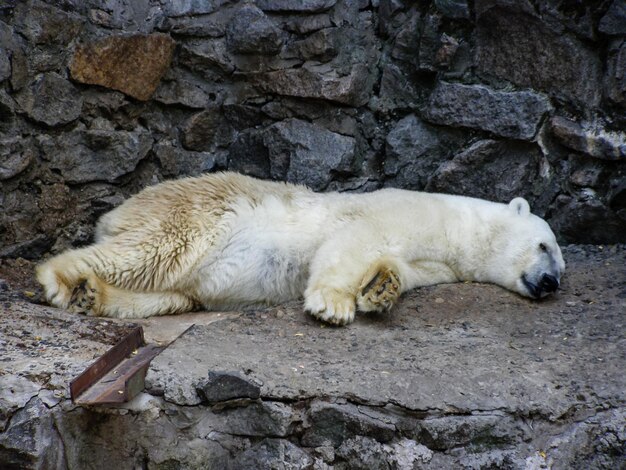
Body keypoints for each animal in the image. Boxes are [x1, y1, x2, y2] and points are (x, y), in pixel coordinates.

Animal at [36, 172, 564, 324]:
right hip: (196, 218)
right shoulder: (404, 211)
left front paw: (381, 289)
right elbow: (351, 242)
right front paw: (333, 306)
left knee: (167, 293)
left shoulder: (433, 262)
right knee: (151, 252)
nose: (550, 283)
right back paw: (59, 281)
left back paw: (93, 295)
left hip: (181, 275)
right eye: (545, 245)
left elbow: (396, 267)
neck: (457, 226)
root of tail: (118, 212)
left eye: (561, 264)